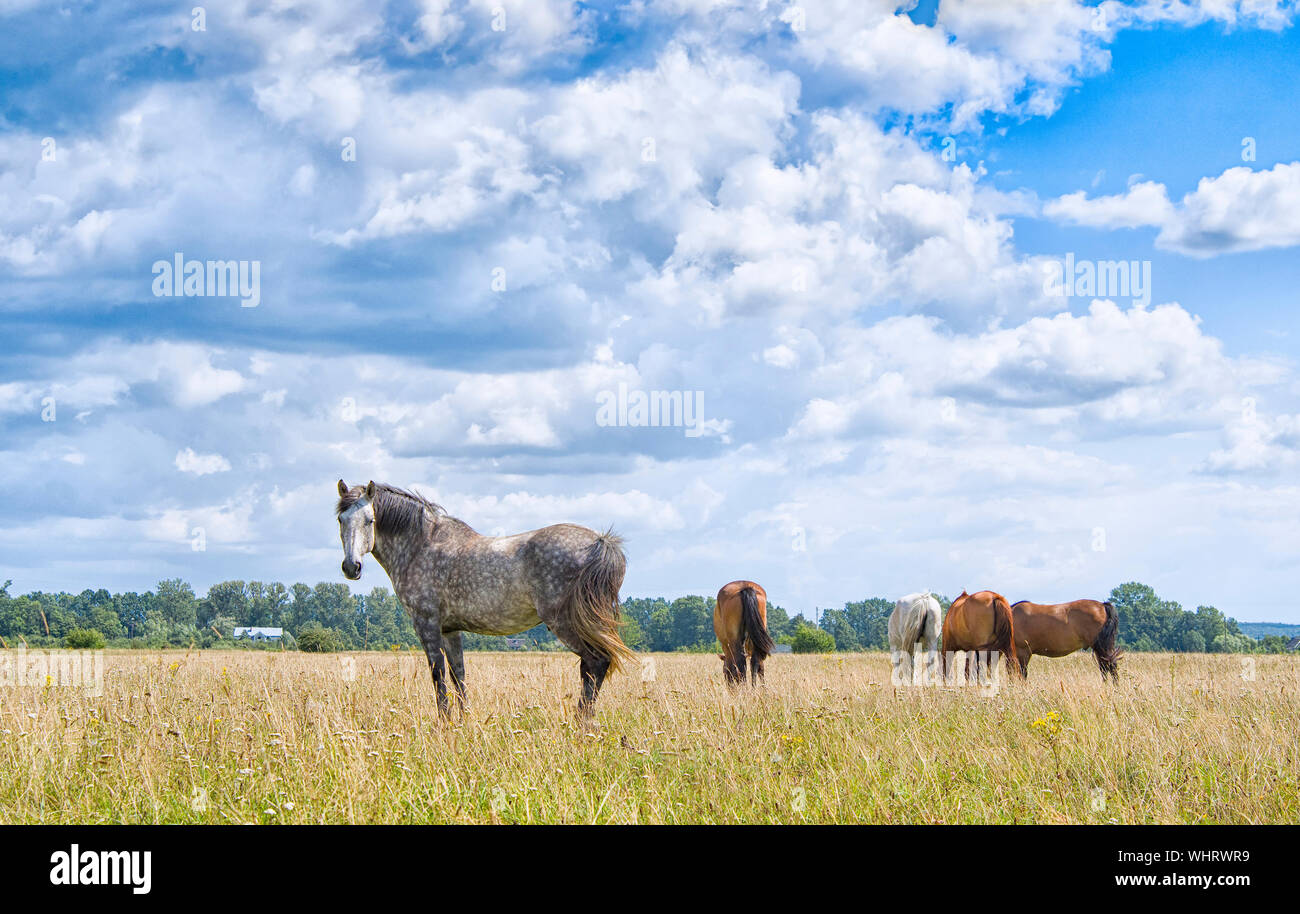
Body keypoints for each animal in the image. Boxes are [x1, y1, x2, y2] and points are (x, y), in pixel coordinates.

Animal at [332, 483, 631, 717]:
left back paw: (582, 722)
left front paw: (444, 723)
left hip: (565, 623)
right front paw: (464, 721)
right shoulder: (450, 630)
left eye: (370, 520)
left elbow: (438, 675)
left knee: (596, 662)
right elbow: (459, 675)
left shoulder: (426, 623)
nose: (351, 567)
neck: (421, 546)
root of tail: (600, 542)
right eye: (341, 520)